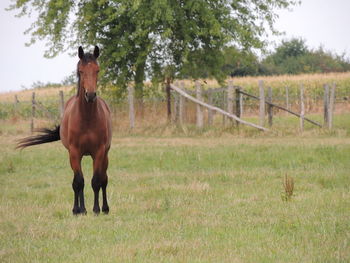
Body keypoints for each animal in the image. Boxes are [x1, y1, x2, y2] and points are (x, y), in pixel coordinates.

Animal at [17, 46, 111, 216]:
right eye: (80, 71)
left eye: (97, 70)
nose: (91, 95)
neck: (87, 118)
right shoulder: (74, 152)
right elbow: (78, 182)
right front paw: (77, 210)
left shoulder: (99, 152)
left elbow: (96, 181)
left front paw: (96, 209)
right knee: (79, 181)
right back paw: (82, 209)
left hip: (104, 155)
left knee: (104, 179)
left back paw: (105, 208)